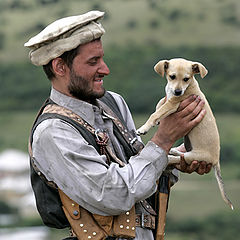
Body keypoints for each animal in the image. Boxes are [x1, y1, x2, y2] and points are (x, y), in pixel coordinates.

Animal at [138, 58, 233, 210]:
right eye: (172, 76)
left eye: (186, 79)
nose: (178, 92)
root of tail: (216, 161)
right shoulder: (168, 98)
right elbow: (160, 103)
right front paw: (157, 119)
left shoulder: (173, 104)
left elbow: (156, 112)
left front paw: (144, 127)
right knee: (180, 155)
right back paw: (173, 150)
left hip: (193, 156)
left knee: (177, 159)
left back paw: (169, 157)